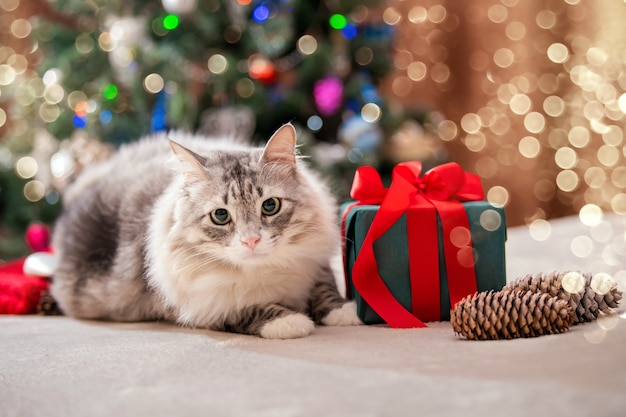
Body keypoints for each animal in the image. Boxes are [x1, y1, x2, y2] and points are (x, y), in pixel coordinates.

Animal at [51, 123, 360, 338]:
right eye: (221, 215)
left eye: (270, 206)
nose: (251, 240)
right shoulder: (201, 304)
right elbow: (247, 308)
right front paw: (290, 321)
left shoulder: (314, 261)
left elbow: (325, 287)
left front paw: (345, 311)